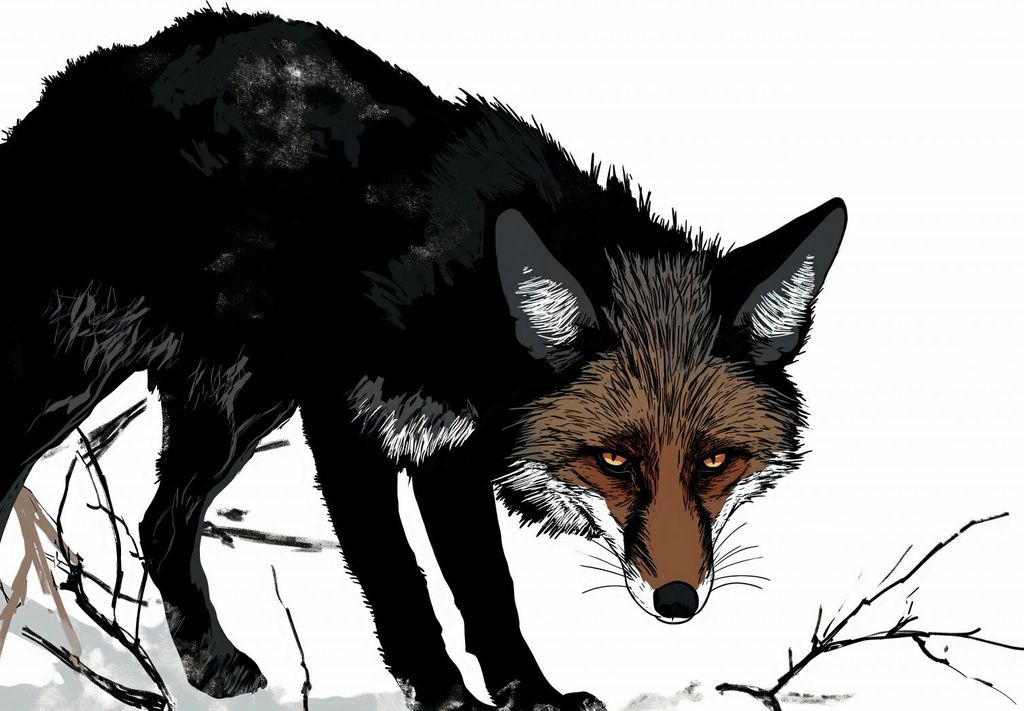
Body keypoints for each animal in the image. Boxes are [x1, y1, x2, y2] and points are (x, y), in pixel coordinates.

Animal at [0, 8, 847, 711]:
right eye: (612, 459)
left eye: (714, 461)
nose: (678, 600)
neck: (455, 291)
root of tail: (87, 74)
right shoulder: (348, 430)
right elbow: (400, 582)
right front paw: (446, 700)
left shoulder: (449, 450)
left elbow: (487, 590)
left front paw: (533, 696)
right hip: (70, 381)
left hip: (240, 406)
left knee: (161, 523)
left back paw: (211, 664)